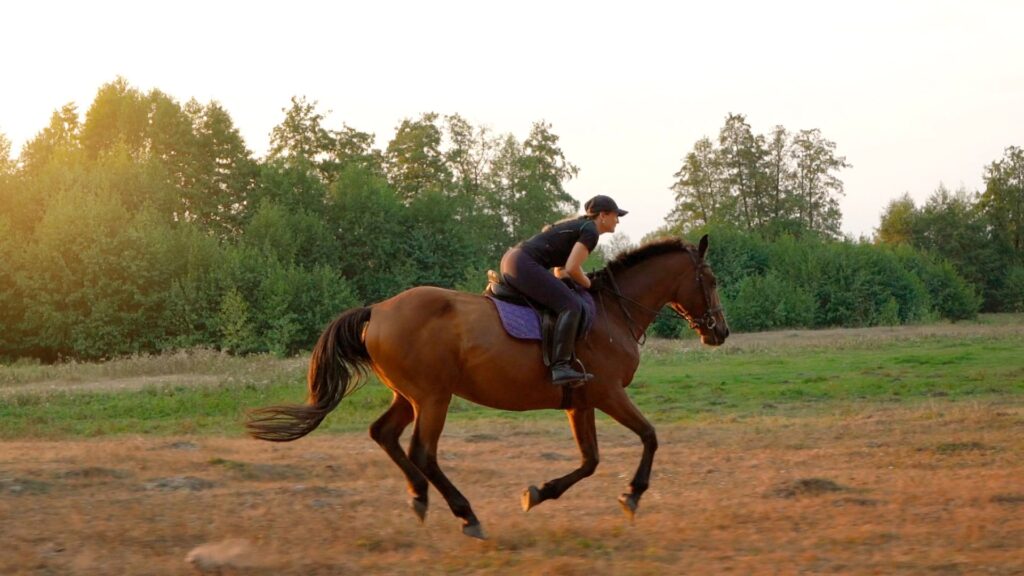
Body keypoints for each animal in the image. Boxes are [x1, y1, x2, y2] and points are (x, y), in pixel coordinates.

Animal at [246, 235, 729, 539]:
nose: (720, 332)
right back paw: (466, 515)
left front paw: (539, 493)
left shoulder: (581, 402)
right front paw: (632, 494)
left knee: (384, 434)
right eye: (711, 280)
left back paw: (419, 498)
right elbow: (649, 436)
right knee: (423, 452)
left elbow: (590, 460)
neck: (613, 313)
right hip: (433, 397)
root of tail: (377, 310)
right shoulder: (609, 393)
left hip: (409, 396)